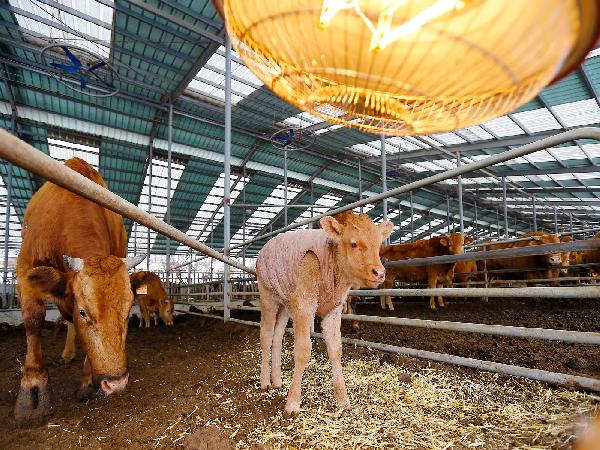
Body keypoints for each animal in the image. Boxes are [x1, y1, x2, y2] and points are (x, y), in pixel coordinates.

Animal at [15, 157, 144, 424]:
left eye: (128, 312)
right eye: (84, 312)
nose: (116, 383)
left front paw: (86, 381)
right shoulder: (24, 268)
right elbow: (34, 321)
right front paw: (33, 386)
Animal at [256, 211, 392, 417]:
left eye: (378, 245)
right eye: (354, 243)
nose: (379, 272)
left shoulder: (333, 311)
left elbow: (336, 349)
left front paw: (343, 399)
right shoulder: (304, 305)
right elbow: (303, 351)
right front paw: (293, 403)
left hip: (286, 303)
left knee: (277, 336)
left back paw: (277, 380)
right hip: (268, 296)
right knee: (265, 336)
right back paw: (265, 381)